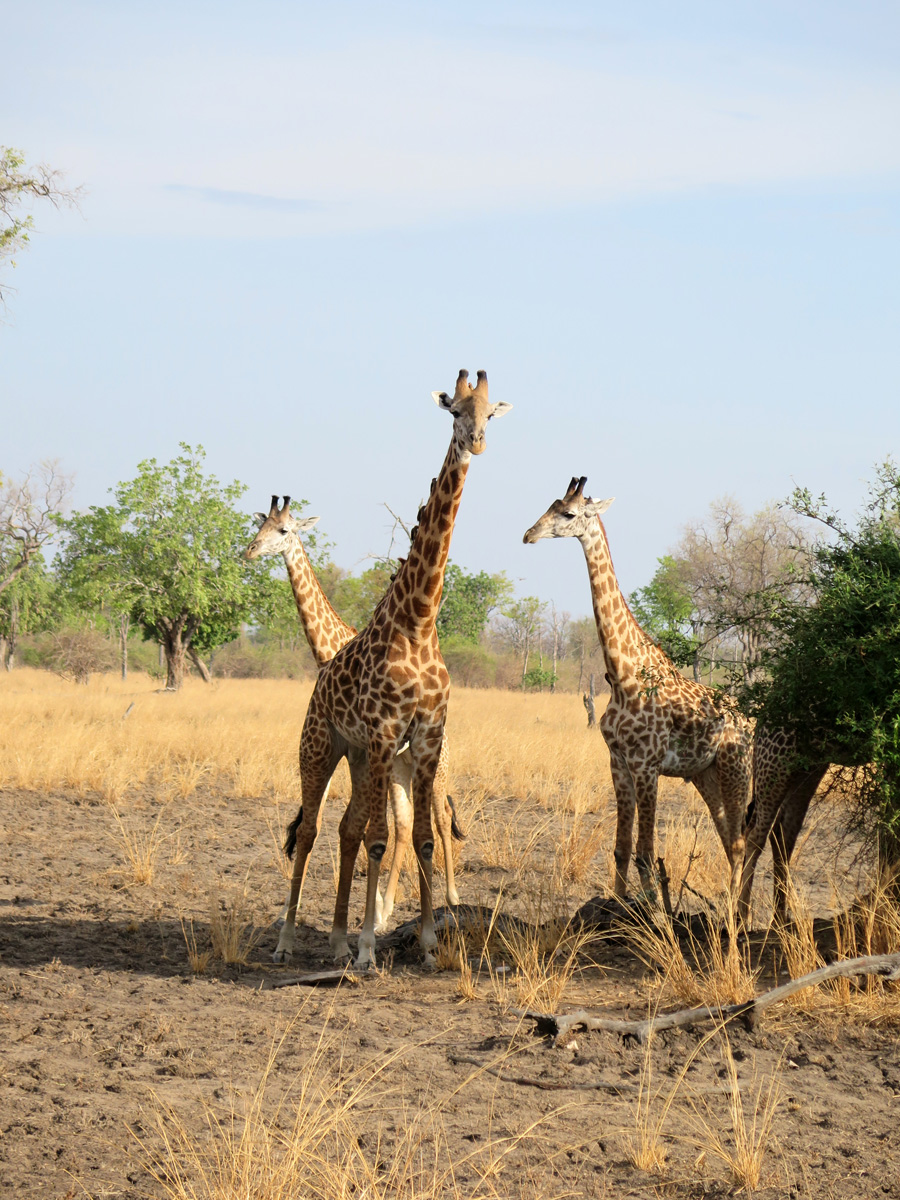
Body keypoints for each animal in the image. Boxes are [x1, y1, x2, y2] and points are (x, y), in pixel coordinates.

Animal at [244, 496, 463, 934]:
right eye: (259, 528)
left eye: (284, 531)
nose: (250, 551)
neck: (329, 649)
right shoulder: (351, 747)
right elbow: (325, 821)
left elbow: (355, 826)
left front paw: (366, 914)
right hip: (401, 767)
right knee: (406, 823)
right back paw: (391, 906)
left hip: (434, 763)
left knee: (441, 815)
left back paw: (448, 898)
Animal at [274, 370, 511, 968]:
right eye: (453, 411)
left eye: (490, 414)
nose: (476, 443)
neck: (419, 622)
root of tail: (319, 682)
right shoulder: (384, 733)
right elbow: (381, 837)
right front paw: (367, 948)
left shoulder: (424, 738)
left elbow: (420, 835)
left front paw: (425, 943)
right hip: (322, 745)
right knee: (311, 829)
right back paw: (289, 941)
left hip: (361, 757)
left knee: (346, 826)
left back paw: (335, 939)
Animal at [523, 476, 752, 900]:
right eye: (550, 505)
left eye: (569, 513)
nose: (529, 534)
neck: (622, 675)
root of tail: (747, 717)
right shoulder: (618, 762)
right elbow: (621, 847)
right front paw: (617, 904)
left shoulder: (647, 765)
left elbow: (646, 851)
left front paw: (652, 912)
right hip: (705, 774)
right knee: (730, 839)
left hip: (736, 767)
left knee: (741, 842)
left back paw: (734, 910)